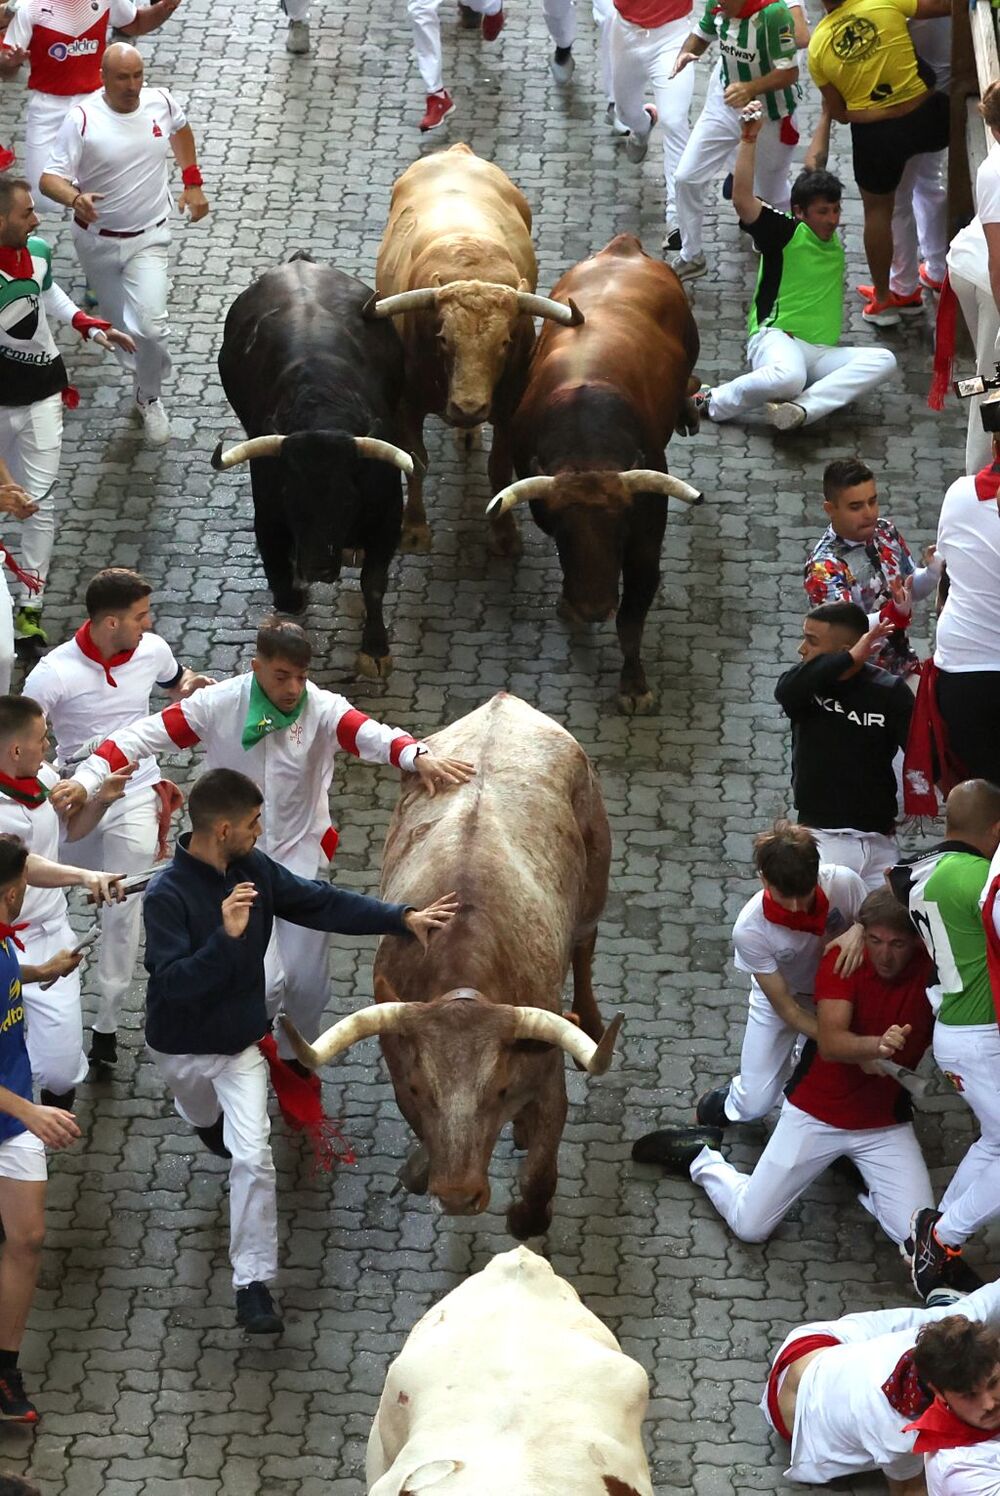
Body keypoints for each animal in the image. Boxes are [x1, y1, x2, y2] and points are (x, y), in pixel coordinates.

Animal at [212, 255, 413, 679]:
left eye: (348, 500)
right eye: (291, 497)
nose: (318, 566)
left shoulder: (388, 516)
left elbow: (373, 583)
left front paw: (375, 648)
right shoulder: (269, 517)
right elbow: (283, 588)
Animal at [281, 691, 619, 1238]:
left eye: (499, 1089)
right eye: (420, 1089)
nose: (459, 1196)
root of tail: (506, 701)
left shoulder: (547, 1082)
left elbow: (540, 1176)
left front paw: (524, 1213)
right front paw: (422, 1167)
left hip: (595, 882)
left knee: (585, 947)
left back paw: (588, 1019)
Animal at [365, 144, 577, 556]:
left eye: (505, 342)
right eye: (444, 338)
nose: (469, 407)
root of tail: (456, 151)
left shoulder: (510, 405)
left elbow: (499, 467)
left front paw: (505, 532)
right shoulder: (406, 406)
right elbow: (416, 462)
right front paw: (414, 528)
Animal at [488, 236, 700, 715]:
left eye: (620, 526)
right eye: (562, 532)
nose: (593, 606)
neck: (586, 444)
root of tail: (624, 247)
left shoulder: (645, 546)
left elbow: (630, 620)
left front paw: (634, 686)